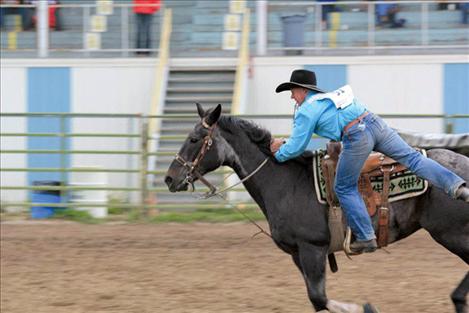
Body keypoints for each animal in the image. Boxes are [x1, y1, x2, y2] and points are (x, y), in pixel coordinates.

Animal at [165, 103, 468, 310]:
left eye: (193, 139)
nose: (170, 178)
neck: (287, 182)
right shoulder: (297, 253)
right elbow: (317, 299)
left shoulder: (313, 248)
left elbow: (319, 298)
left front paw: (365, 307)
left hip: (452, 234)